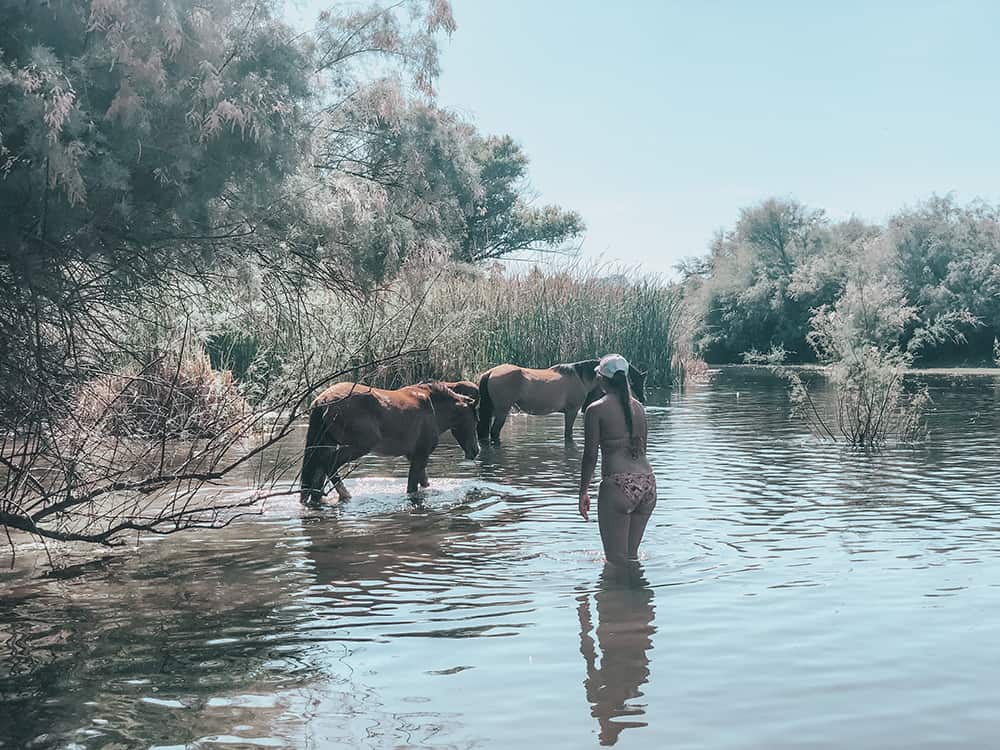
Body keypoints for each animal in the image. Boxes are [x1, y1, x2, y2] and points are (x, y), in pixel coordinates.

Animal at [298, 382, 478, 506]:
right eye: (476, 420)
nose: (475, 450)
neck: (432, 407)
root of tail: (323, 401)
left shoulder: (413, 455)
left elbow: (424, 482)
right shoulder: (421, 454)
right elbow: (412, 486)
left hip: (326, 445)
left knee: (318, 471)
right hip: (357, 447)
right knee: (329, 465)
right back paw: (345, 495)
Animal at [478, 360, 648, 444]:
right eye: (637, 381)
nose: (643, 399)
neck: (580, 377)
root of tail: (490, 372)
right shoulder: (572, 411)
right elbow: (568, 433)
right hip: (502, 411)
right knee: (494, 432)